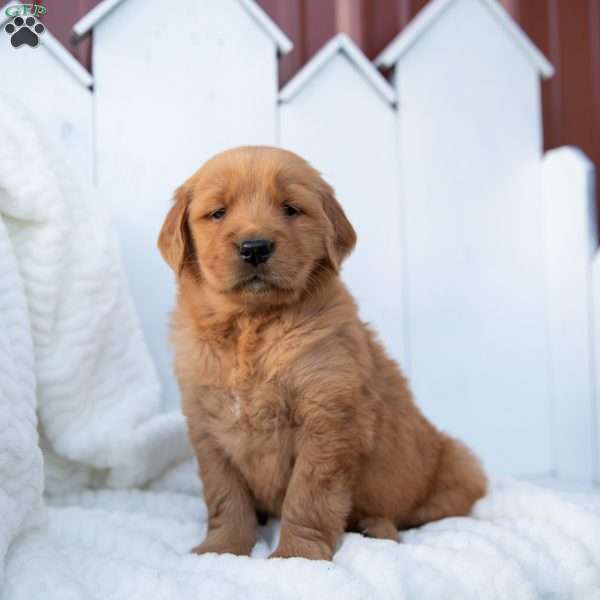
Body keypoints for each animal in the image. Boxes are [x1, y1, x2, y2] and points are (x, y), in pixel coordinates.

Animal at [157, 146, 486, 564]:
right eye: (218, 213)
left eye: (290, 209)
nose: (255, 247)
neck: (253, 325)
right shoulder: (209, 427)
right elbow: (225, 497)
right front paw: (222, 549)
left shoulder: (328, 418)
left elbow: (308, 495)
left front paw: (296, 555)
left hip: (458, 465)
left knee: (418, 515)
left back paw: (375, 526)